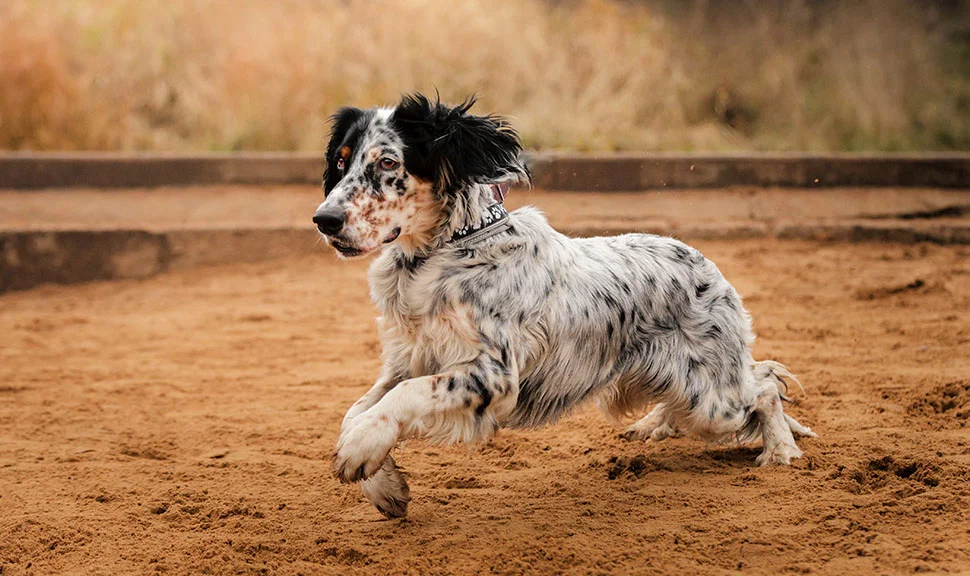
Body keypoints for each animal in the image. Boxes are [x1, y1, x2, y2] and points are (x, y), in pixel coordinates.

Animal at [314, 93, 812, 516]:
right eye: (340, 161)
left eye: (387, 162)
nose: (324, 220)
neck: (444, 252)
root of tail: (710, 269)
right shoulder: (408, 358)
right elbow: (356, 410)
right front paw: (383, 483)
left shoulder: (493, 373)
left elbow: (404, 397)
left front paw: (361, 451)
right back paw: (653, 425)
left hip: (713, 400)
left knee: (765, 385)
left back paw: (781, 451)